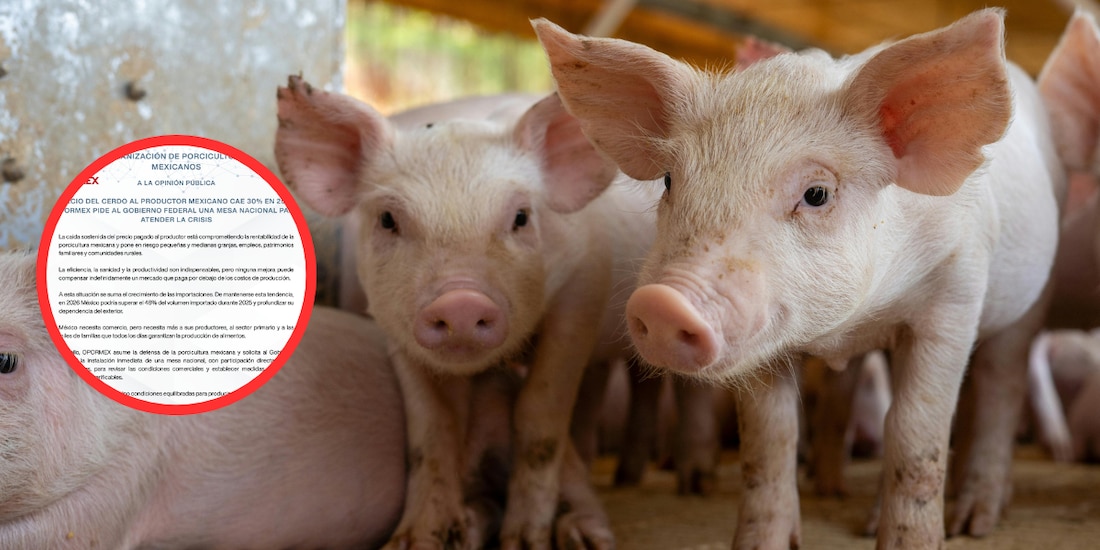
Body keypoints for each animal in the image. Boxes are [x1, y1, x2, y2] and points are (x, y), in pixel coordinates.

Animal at [274, 76, 662, 549]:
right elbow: (431, 430)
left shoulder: (582, 292)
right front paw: (414, 540)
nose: (460, 302)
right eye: (387, 219)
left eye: (521, 217)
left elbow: (540, 415)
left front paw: (524, 541)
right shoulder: (393, 330)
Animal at [535, 8, 1063, 549]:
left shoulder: (955, 293)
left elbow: (916, 434)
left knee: (1001, 387)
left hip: (1032, 299)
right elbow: (769, 441)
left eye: (816, 193)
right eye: (668, 180)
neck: (847, 328)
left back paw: (974, 522)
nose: (662, 303)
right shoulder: (764, 344)